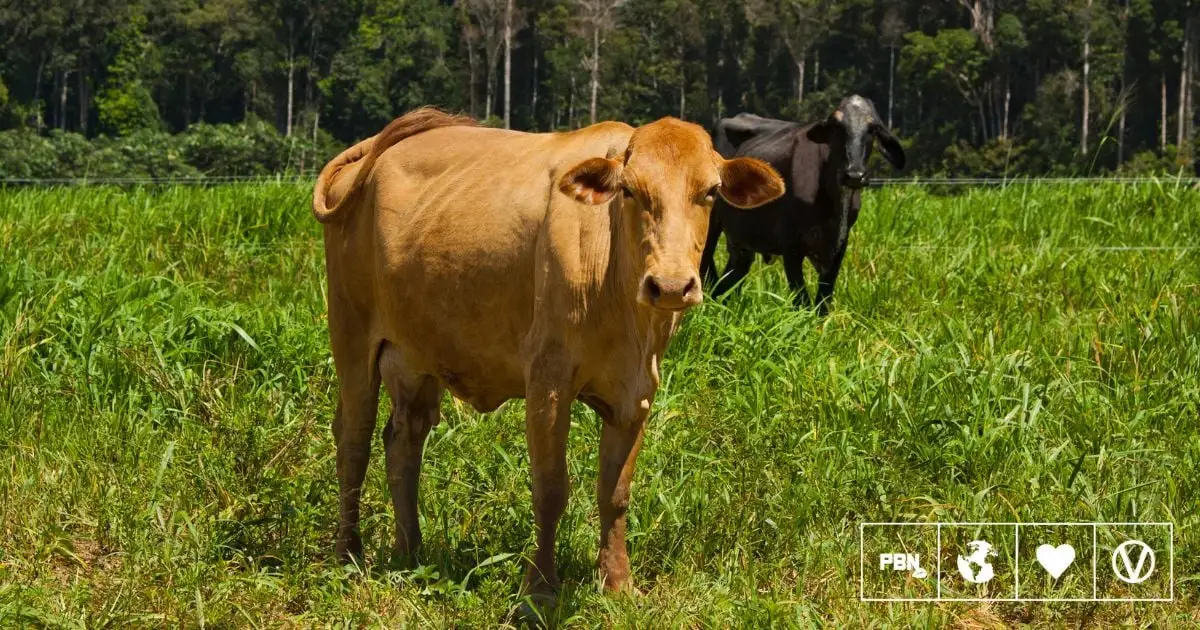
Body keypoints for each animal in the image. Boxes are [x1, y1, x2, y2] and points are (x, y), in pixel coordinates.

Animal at [309, 106, 782, 600]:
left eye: (709, 192)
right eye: (629, 191)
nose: (670, 285)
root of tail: (375, 148)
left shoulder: (637, 391)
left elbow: (615, 492)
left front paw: (617, 583)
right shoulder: (547, 382)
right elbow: (551, 489)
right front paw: (539, 590)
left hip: (416, 356)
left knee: (403, 440)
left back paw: (409, 551)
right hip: (351, 336)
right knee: (354, 440)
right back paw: (348, 553)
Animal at [700, 95, 902, 312]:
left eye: (873, 128)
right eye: (837, 126)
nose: (855, 174)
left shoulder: (840, 246)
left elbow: (823, 300)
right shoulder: (790, 244)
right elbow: (802, 301)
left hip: (742, 240)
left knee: (729, 282)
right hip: (710, 224)